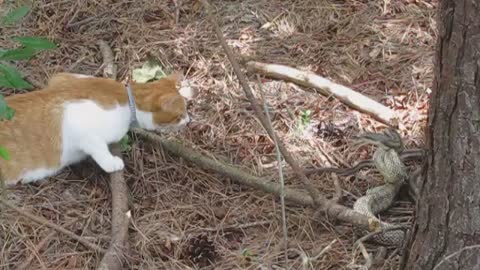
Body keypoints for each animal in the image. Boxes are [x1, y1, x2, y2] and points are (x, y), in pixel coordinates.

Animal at [1, 71, 193, 186]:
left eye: (186, 112)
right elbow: (98, 148)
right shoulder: (74, 119)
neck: (126, 98)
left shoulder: (62, 77)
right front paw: (113, 163)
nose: (189, 121)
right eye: (180, 115)